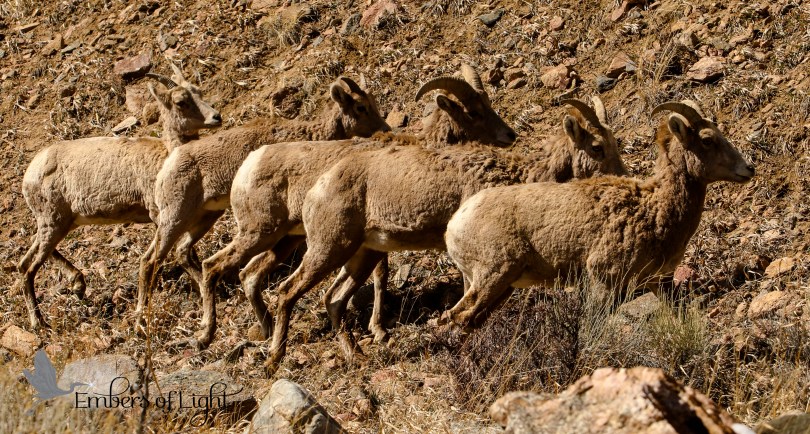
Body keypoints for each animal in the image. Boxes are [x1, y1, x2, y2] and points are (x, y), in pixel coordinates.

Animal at [17, 65, 221, 330]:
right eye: (180, 101)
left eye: (199, 92)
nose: (216, 117)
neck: (167, 155)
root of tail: (29, 176)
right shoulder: (162, 215)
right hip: (53, 222)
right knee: (28, 267)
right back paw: (39, 322)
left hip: (60, 223)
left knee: (28, 258)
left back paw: (78, 285)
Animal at [136, 76, 391, 343]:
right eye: (360, 106)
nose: (385, 130)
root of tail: (170, 162)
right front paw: (378, 328)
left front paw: (379, 328)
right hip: (175, 218)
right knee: (150, 260)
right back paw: (145, 323)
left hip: (205, 217)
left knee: (183, 251)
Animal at [195, 65, 518, 349]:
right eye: (473, 112)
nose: (510, 135)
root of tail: (249, 165)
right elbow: (380, 276)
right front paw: (379, 330)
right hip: (261, 233)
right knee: (214, 266)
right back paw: (207, 336)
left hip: (283, 241)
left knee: (249, 275)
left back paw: (265, 332)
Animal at [251, 97, 628, 372]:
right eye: (597, 147)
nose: (624, 177)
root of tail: (319, 185)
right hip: (329, 247)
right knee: (287, 291)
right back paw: (273, 360)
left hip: (361, 254)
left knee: (333, 299)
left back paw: (356, 357)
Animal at [440, 101, 755, 331]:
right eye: (707, 140)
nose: (748, 169)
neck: (652, 209)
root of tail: (454, 225)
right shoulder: (604, 280)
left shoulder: (656, 282)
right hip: (494, 275)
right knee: (456, 318)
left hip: (498, 286)